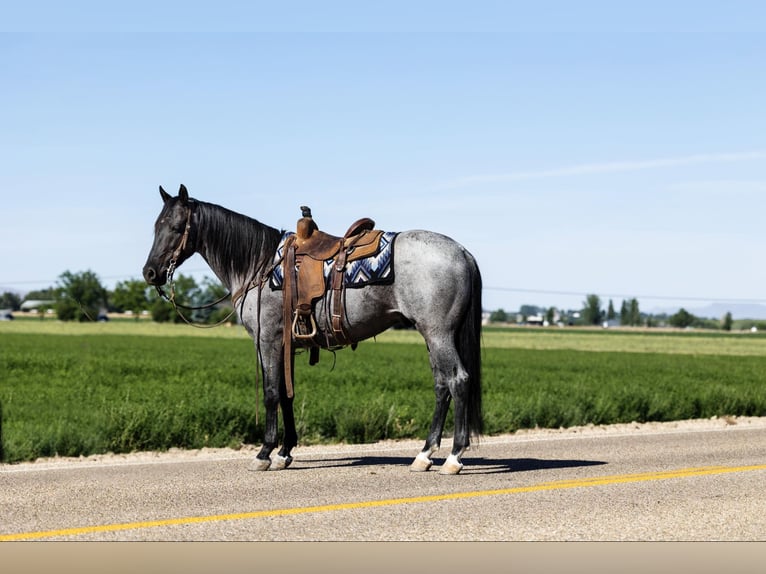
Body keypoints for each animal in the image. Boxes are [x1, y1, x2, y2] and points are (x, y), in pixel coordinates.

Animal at [141, 186, 484, 476]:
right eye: (156, 226)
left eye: (176, 227)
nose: (150, 272)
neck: (259, 265)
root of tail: (462, 252)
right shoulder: (285, 345)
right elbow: (286, 394)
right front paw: (284, 452)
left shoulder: (267, 340)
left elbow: (271, 393)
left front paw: (264, 454)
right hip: (432, 335)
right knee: (441, 385)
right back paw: (424, 455)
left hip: (438, 333)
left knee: (458, 380)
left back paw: (453, 457)